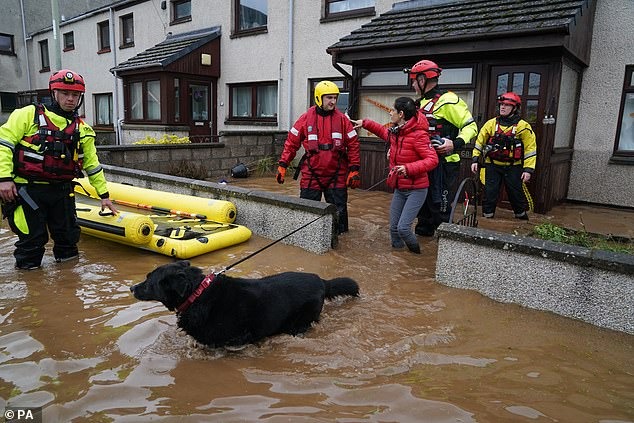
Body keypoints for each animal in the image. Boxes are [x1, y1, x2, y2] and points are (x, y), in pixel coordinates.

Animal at [131, 262, 358, 348]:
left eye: (149, 281)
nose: (132, 288)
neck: (196, 295)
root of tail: (321, 280)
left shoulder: (233, 340)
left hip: (298, 323)